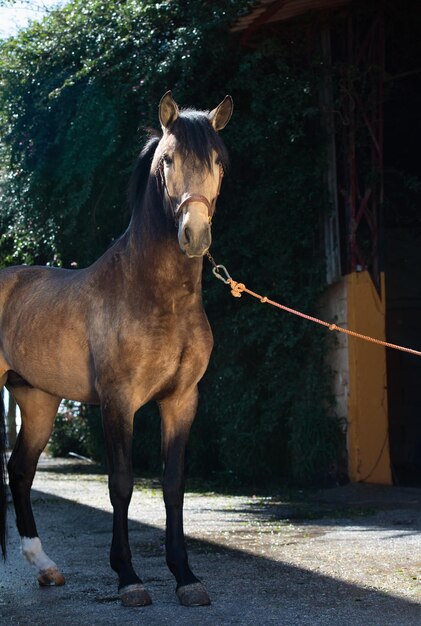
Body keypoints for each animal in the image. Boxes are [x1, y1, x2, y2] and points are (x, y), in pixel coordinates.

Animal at [0, 91, 233, 604]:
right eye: (168, 161)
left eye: (219, 162)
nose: (195, 236)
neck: (153, 295)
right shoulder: (117, 401)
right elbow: (121, 485)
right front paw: (128, 577)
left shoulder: (181, 401)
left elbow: (172, 484)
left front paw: (185, 577)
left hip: (38, 401)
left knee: (20, 471)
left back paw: (45, 567)